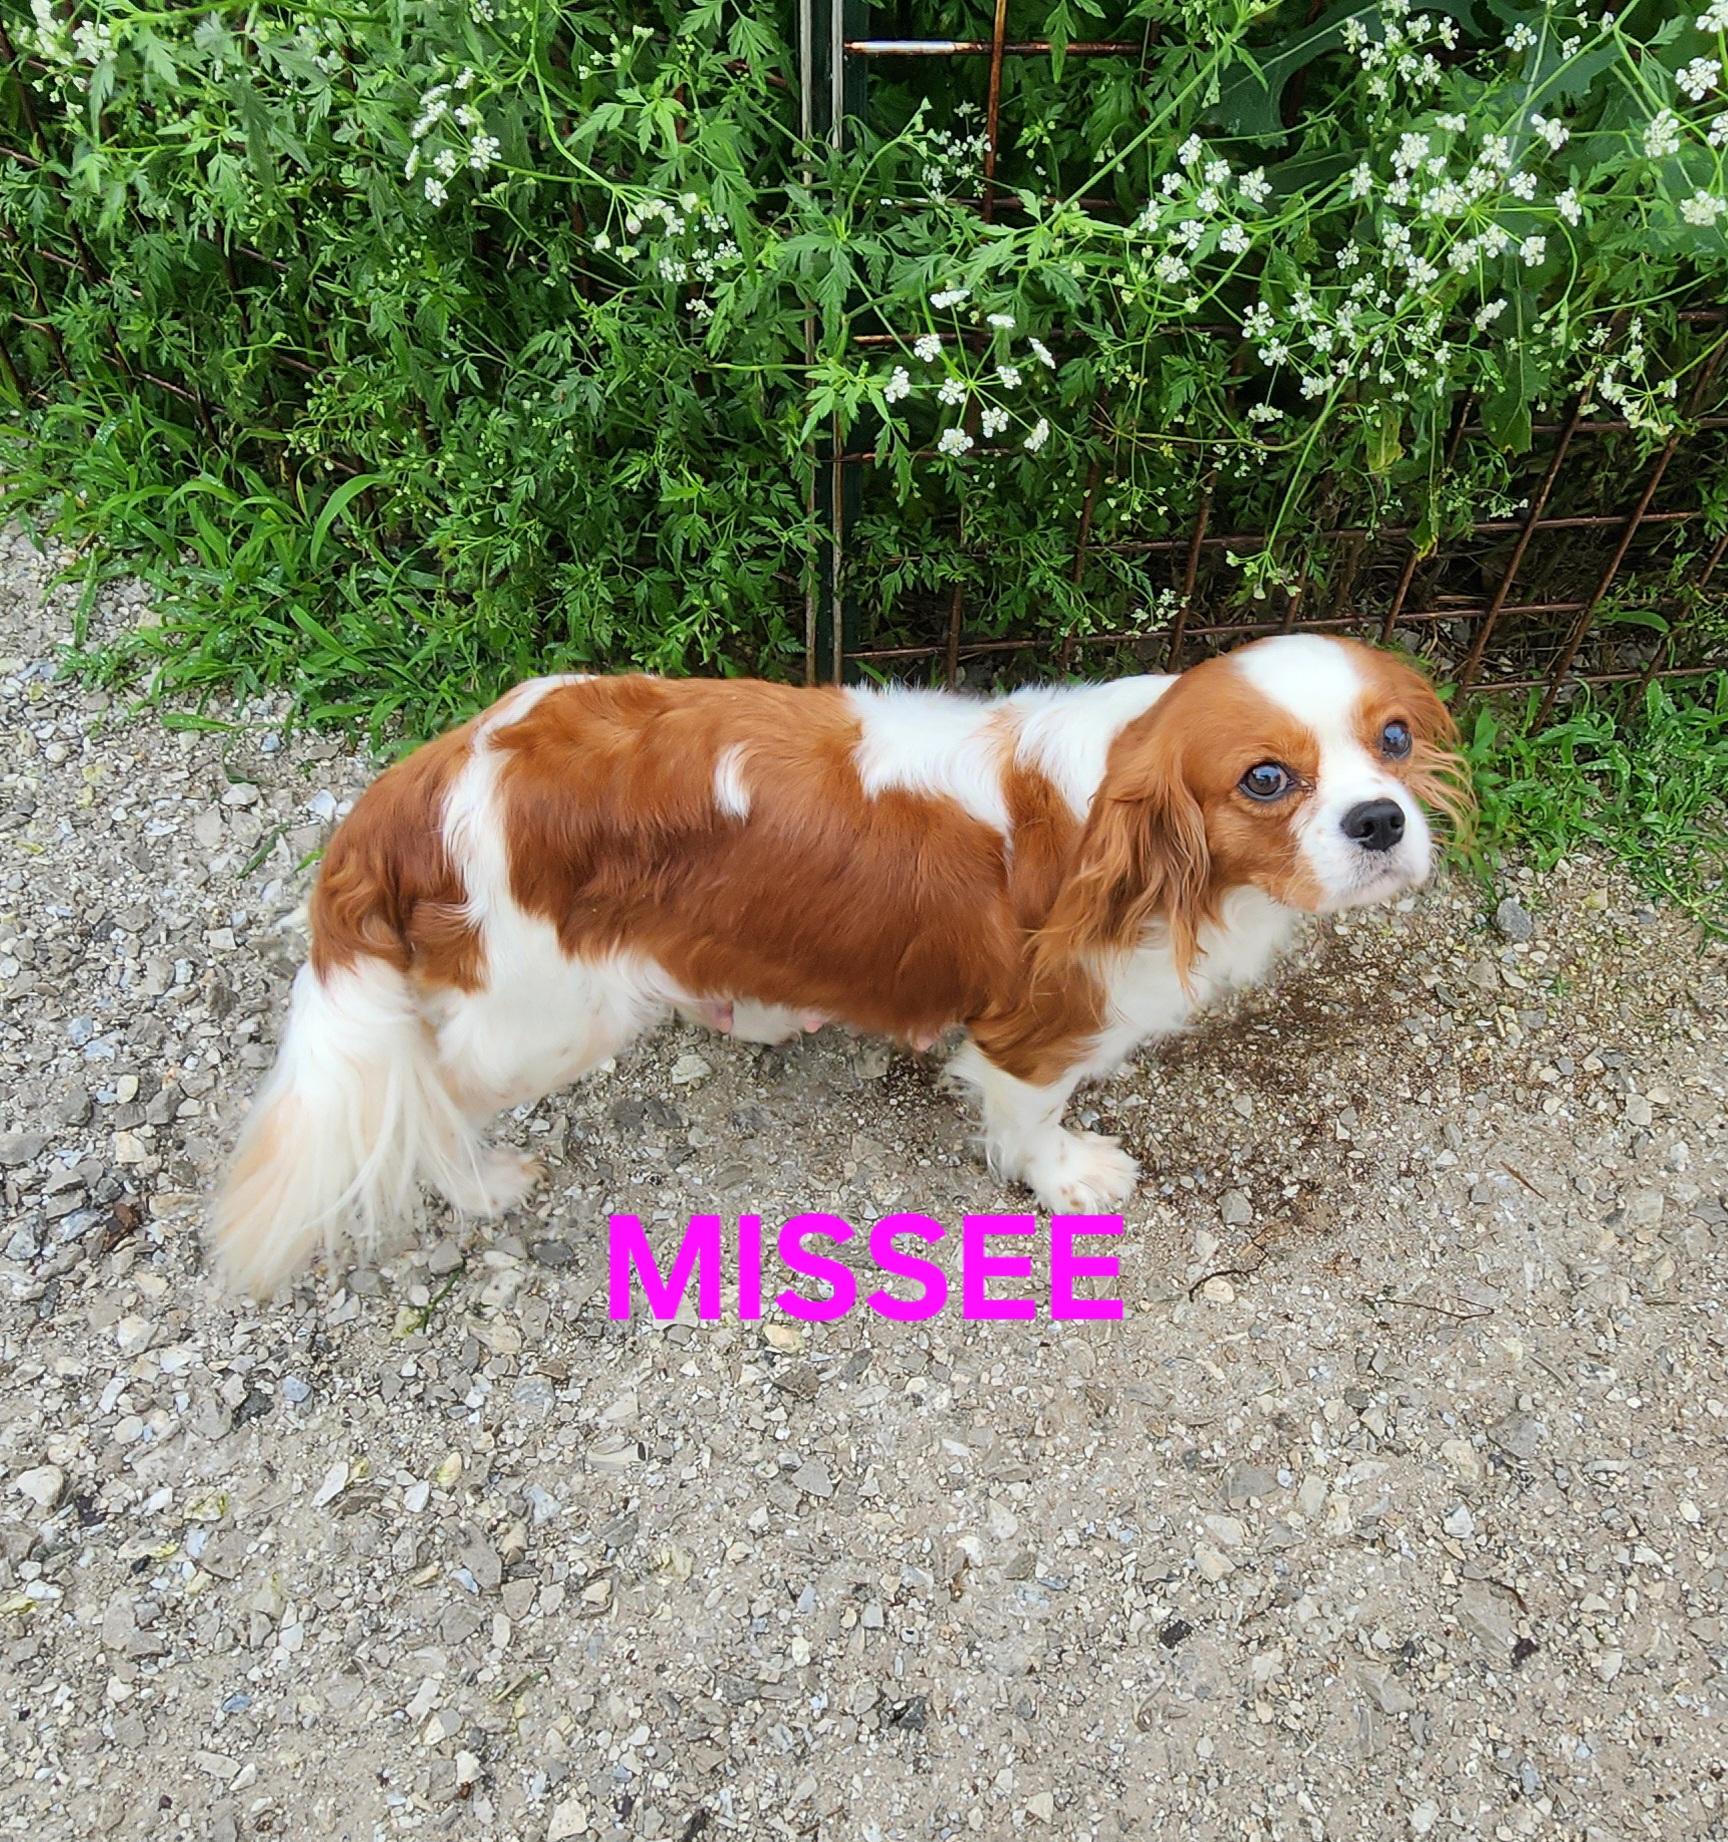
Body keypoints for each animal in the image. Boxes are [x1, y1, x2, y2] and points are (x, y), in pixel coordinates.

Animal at [212, 633, 1469, 1295]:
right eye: (1266, 780)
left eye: (1394, 740)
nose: (1380, 821)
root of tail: (422, 781)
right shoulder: (1040, 1026)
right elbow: (1029, 1116)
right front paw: (1068, 1180)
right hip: (552, 1016)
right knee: (433, 1090)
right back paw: (478, 1182)